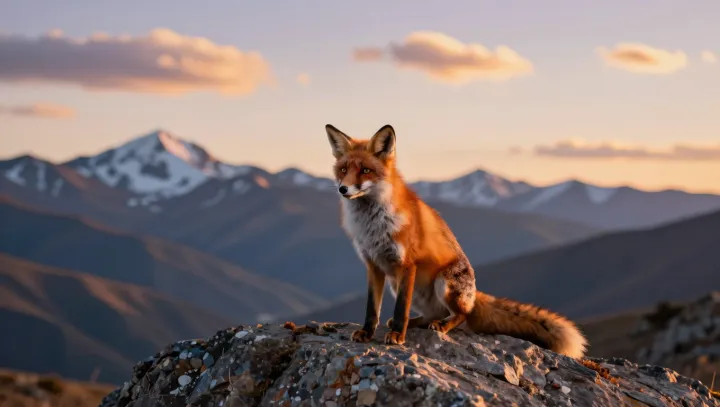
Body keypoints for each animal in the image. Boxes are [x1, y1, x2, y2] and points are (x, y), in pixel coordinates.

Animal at [324, 123, 588, 359]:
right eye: (344, 169)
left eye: (366, 171)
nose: (343, 189)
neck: (372, 226)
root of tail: (474, 293)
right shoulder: (374, 265)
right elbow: (372, 309)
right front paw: (367, 333)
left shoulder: (406, 264)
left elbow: (401, 310)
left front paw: (398, 336)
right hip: (397, 284)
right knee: (431, 315)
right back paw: (420, 322)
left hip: (443, 283)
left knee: (462, 316)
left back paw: (441, 325)